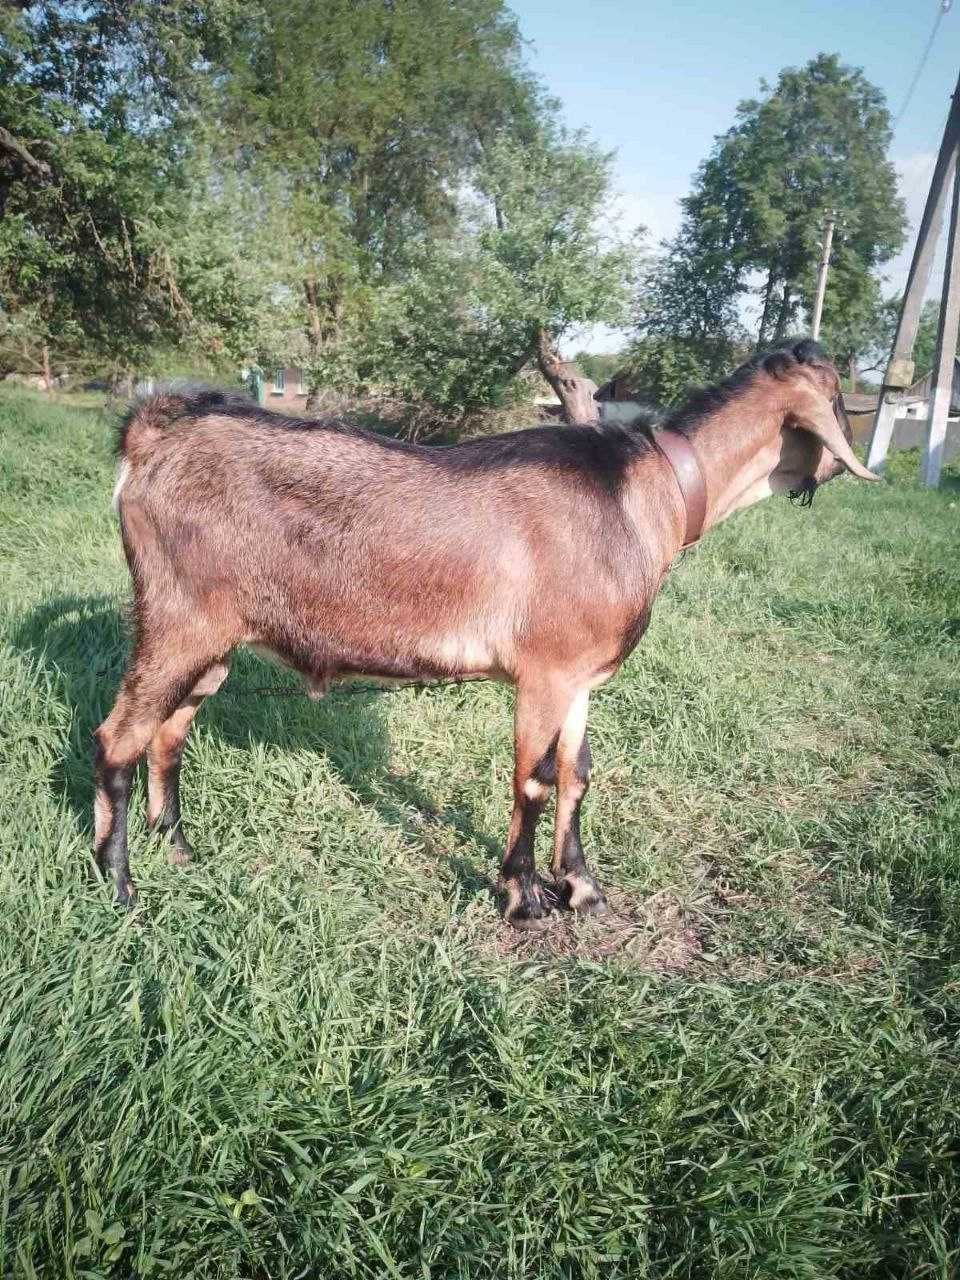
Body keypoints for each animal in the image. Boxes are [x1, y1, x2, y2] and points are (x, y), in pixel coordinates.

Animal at [96, 335, 880, 926]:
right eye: (840, 397)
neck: (645, 493)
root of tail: (150, 443)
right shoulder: (545, 672)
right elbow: (532, 779)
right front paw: (524, 897)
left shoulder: (581, 678)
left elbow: (578, 772)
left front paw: (583, 887)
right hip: (178, 618)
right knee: (118, 738)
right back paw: (119, 884)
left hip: (214, 640)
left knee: (170, 733)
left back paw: (179, 849)